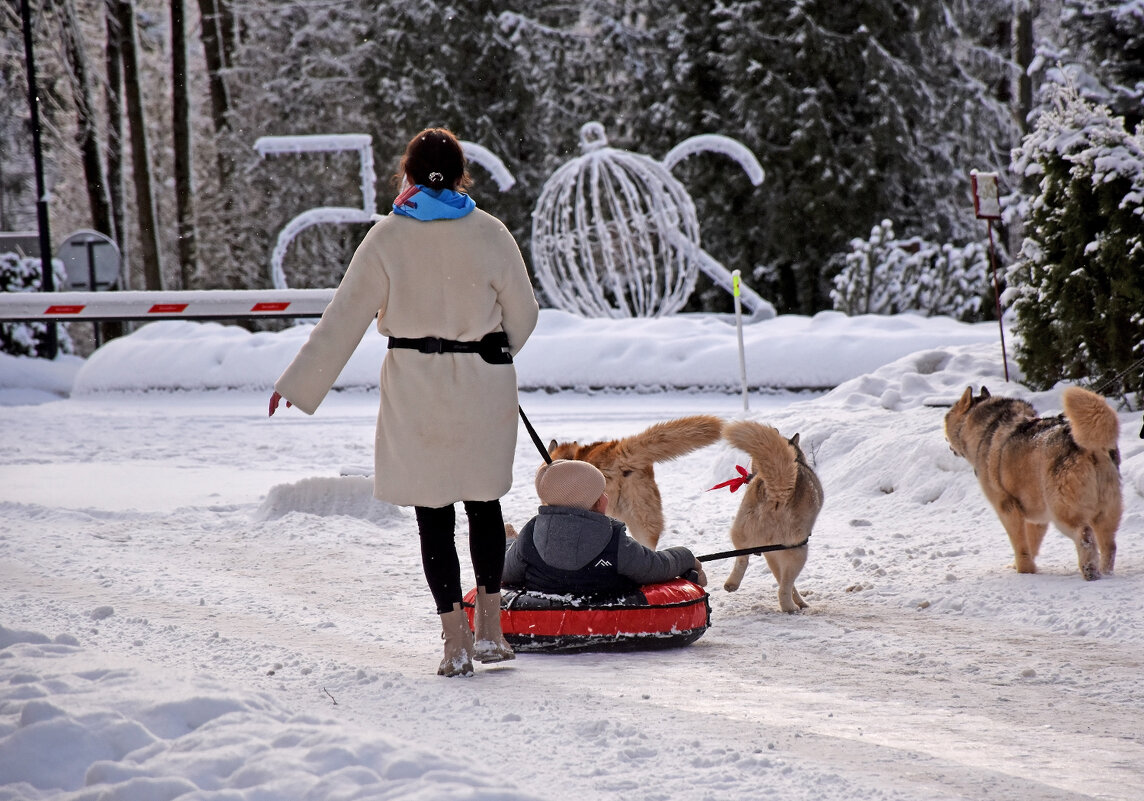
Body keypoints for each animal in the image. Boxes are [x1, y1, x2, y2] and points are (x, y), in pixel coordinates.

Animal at [723, 418, 823, 613]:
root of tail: (778, 492)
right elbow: (786, 584)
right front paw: (800, 603)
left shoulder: (772, 555)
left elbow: (782, 578)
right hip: (798, 549)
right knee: (784, 588)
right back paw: (790, 607)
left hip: (740, 531)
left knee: (741, 559)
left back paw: (732, 583)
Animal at [942, 384, 1121, 579]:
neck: (987, 428)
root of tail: (1090, 447)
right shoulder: (1037, 516)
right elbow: (1032, 543)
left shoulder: (1007, 508)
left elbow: (1020, 545)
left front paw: (1023, 570)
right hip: (1105, 513)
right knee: (1110, 545)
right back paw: (1106, 572)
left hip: (1063, 513)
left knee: (1085, 536)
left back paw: (1090, 572)